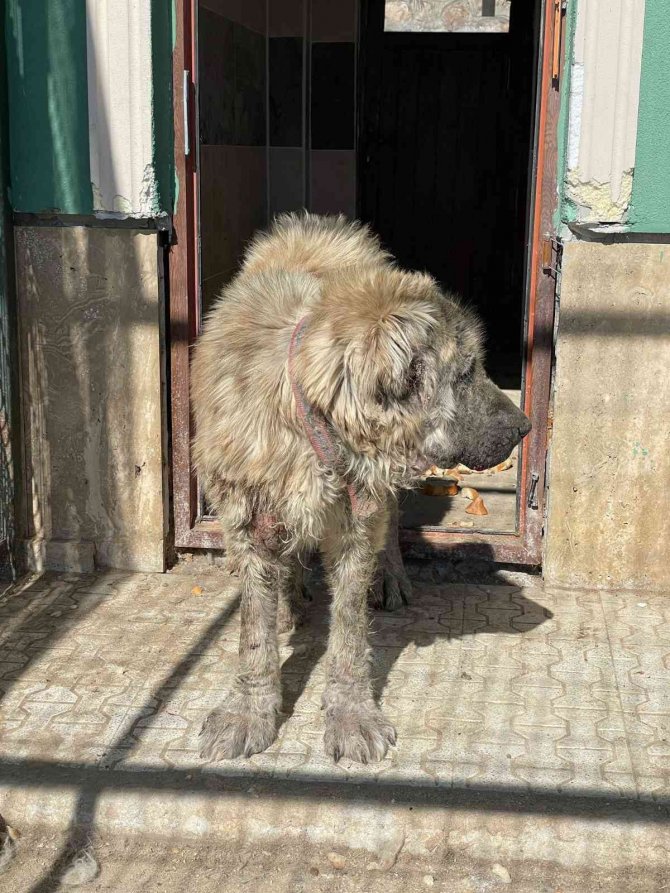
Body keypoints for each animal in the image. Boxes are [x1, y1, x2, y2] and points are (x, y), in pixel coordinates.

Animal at [192, 213, 532, 764]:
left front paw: (349, 713)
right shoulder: (251, 517)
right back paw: (290, 598)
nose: (526, 427)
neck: (308, 411)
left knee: (389, 524)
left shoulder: (356, 519)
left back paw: (388, 577)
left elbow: (349, 631)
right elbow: (253, 632)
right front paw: (250, 709)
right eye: (463, 374)